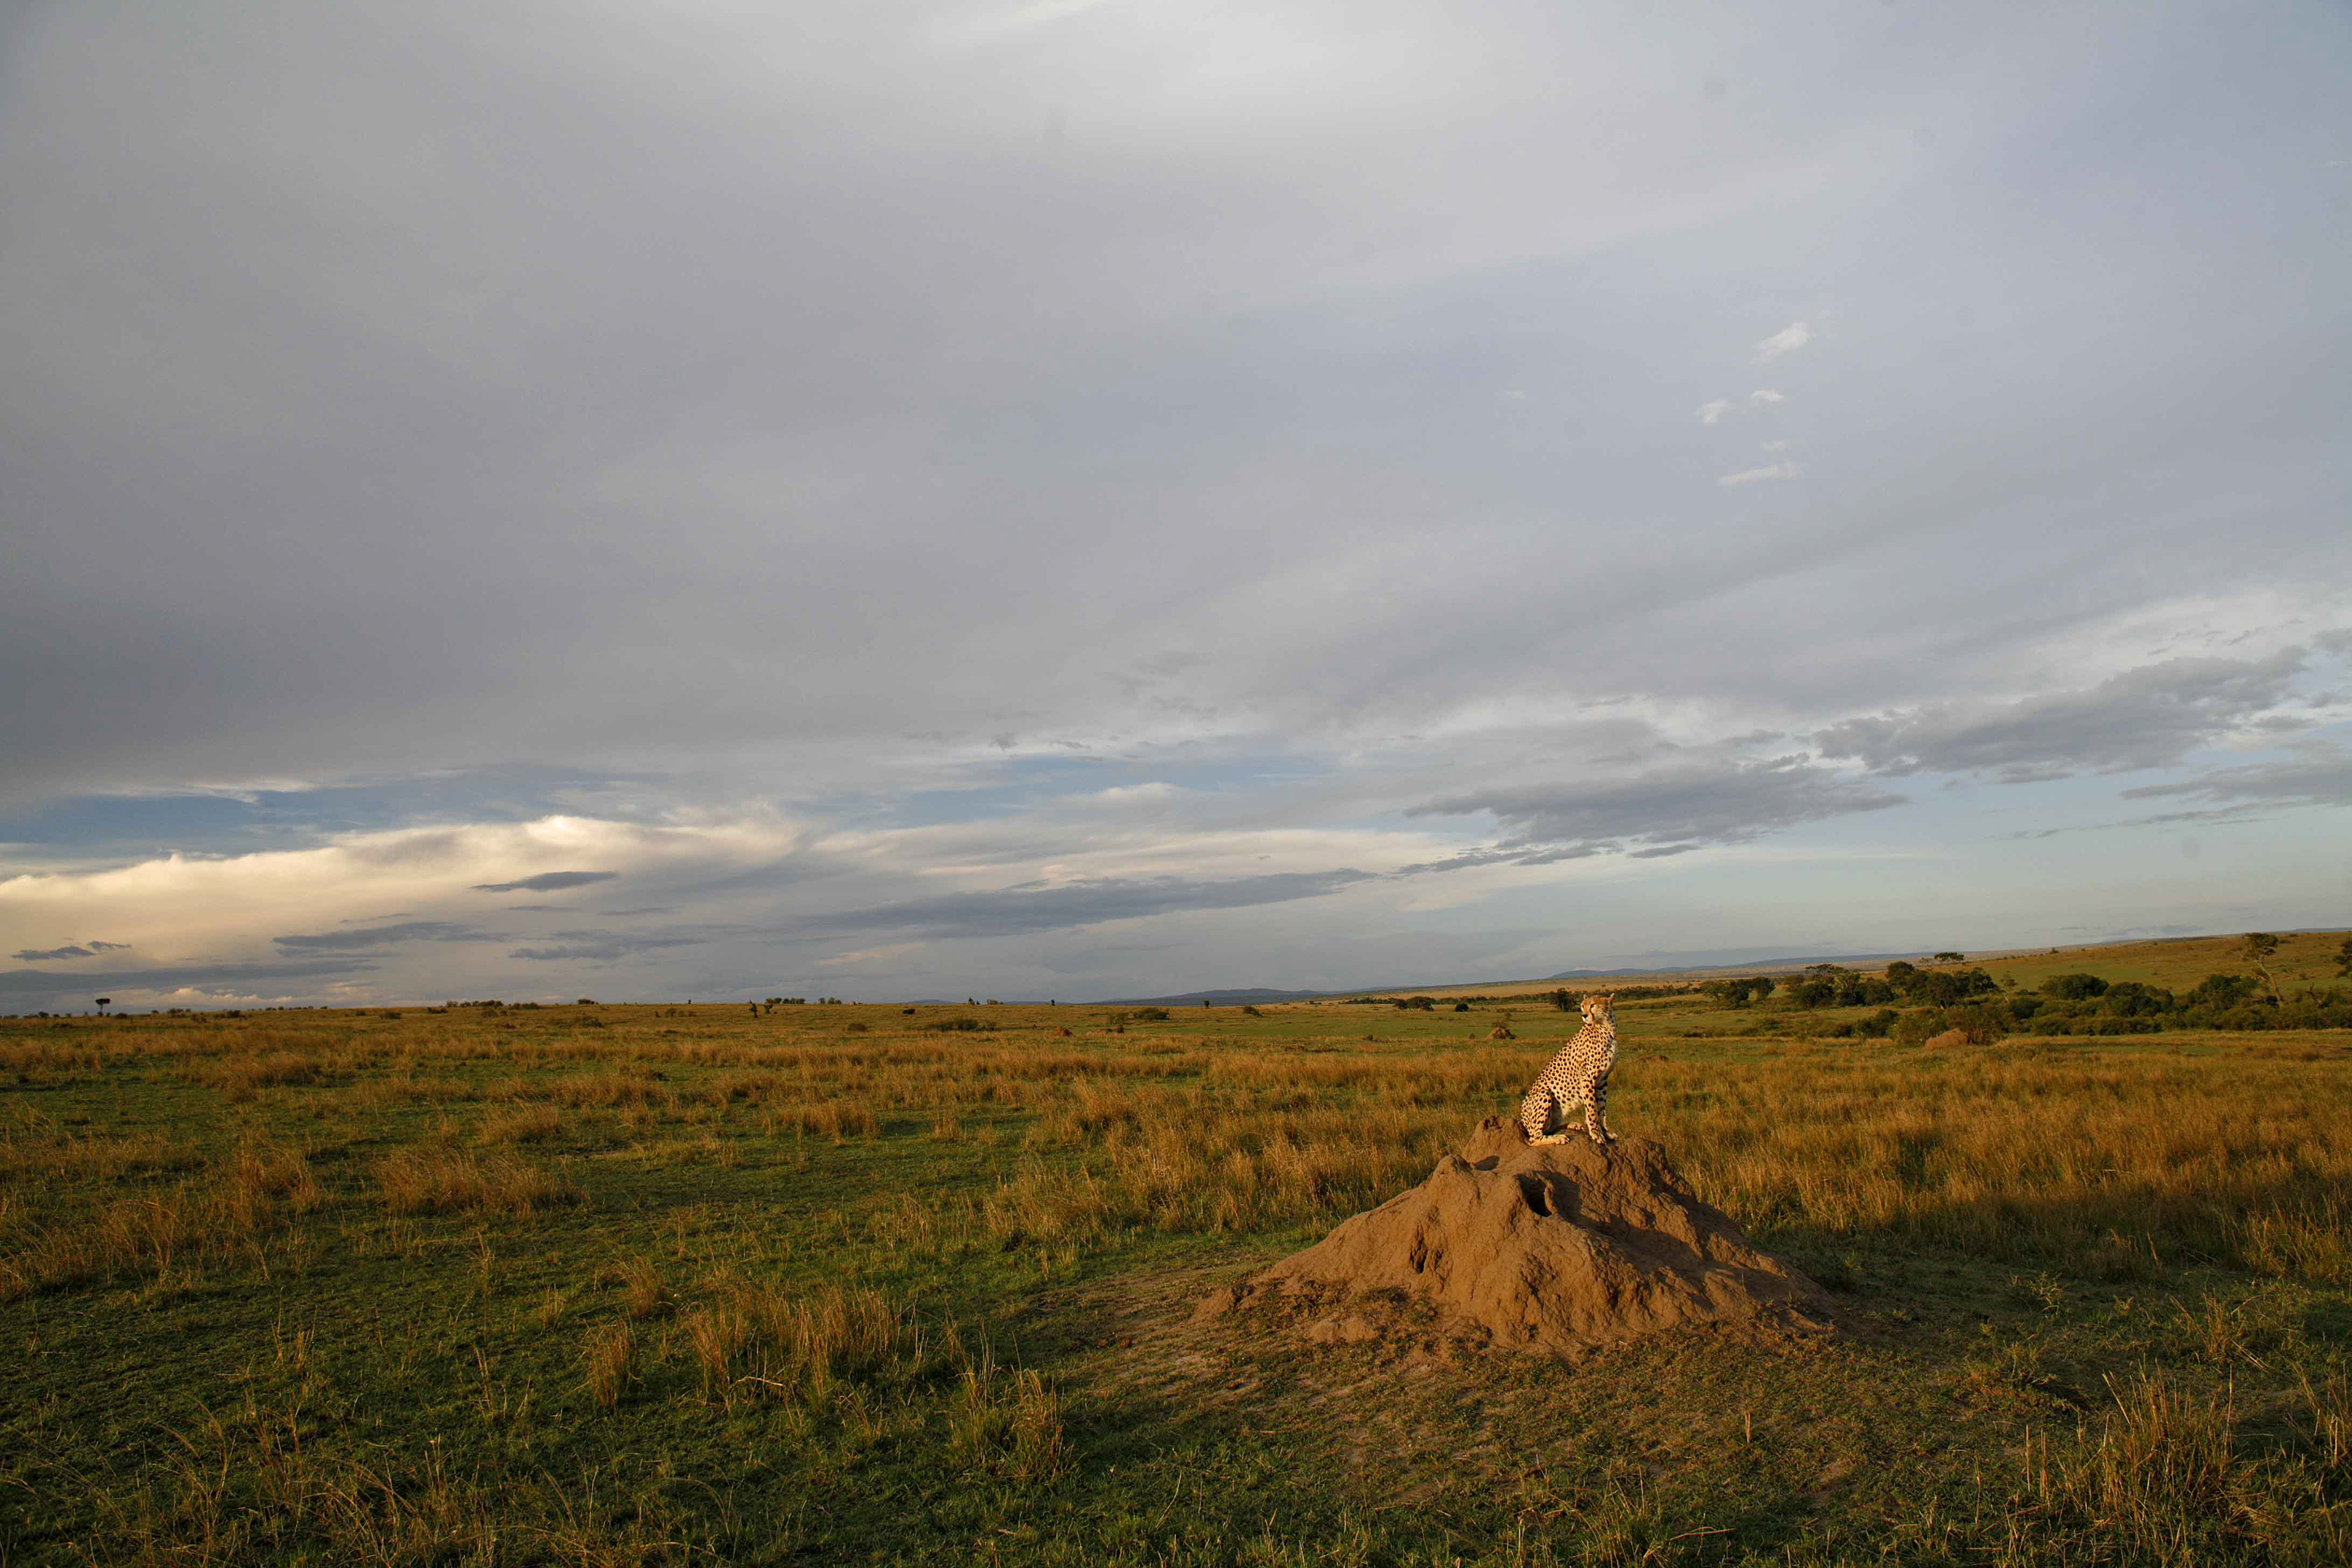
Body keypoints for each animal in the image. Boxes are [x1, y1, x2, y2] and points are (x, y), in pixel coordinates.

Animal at [1516, 992, 1618, 1145]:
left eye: (1593, 1005)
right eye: (1582, 1006)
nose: (1584, 1015)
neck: (1606, 1027)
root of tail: (1523, 1122)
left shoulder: (1603, 1080)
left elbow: (1602, 1110)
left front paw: (1607, 1133)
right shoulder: (1587, 1078)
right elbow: (1592, 1109)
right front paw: (1596, 1134)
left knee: (1549, 1129)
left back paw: (1572, 1125)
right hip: (1544, 1094)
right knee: (1534, 1138)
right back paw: (1559, 1138)